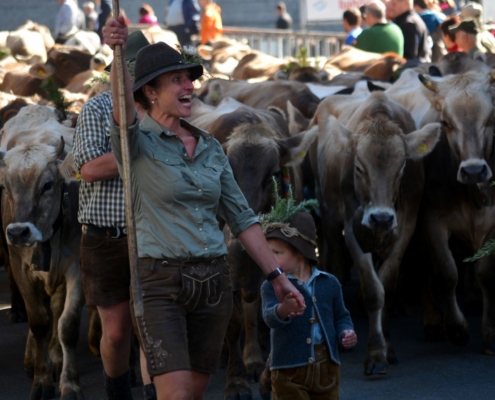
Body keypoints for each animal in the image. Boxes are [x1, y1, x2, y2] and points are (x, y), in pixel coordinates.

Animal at [0, 104, 84, 398]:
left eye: (47, 185)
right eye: (5, 187)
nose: (18, 232)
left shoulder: (76, 269)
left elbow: (67, 325)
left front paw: (69, 384)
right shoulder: (19, 267)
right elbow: (38, 322)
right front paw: (41, 380)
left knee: (56, 314)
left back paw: (56, 358)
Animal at [310, 91, 442, 376]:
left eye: (402, 168)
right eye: (359, 167)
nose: (381, 217)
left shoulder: (406, 225)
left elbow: (387, 286)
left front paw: (387, 348)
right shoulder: (351, 228)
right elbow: (373, 290)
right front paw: (375, 354)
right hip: (328, 215)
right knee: (336, 264)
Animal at [390, 69, 495, 356]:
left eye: (491, 119)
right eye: (446, 122)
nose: (473, 170)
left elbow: (485, 275)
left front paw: (489, 335)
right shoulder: (432, 221)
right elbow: (447, 274)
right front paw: (458, 329)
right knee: (425, 271)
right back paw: (433, 324)